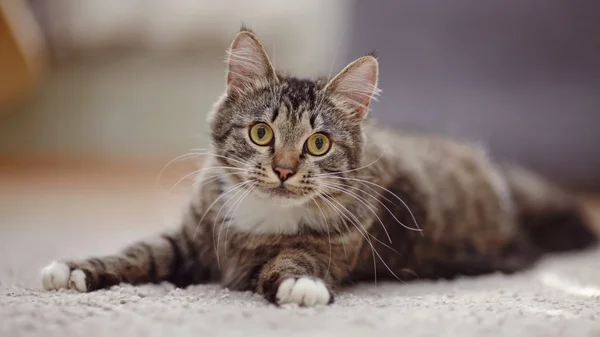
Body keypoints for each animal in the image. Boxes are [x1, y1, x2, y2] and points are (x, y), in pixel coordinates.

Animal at [39, 27, 596, 306]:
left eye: (319, 143)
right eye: (261, 134)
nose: (284, 170)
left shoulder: (332, 247)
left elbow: (290, 261)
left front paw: (300, 287)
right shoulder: (190, 237)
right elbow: (139, 252)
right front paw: (75, 269)